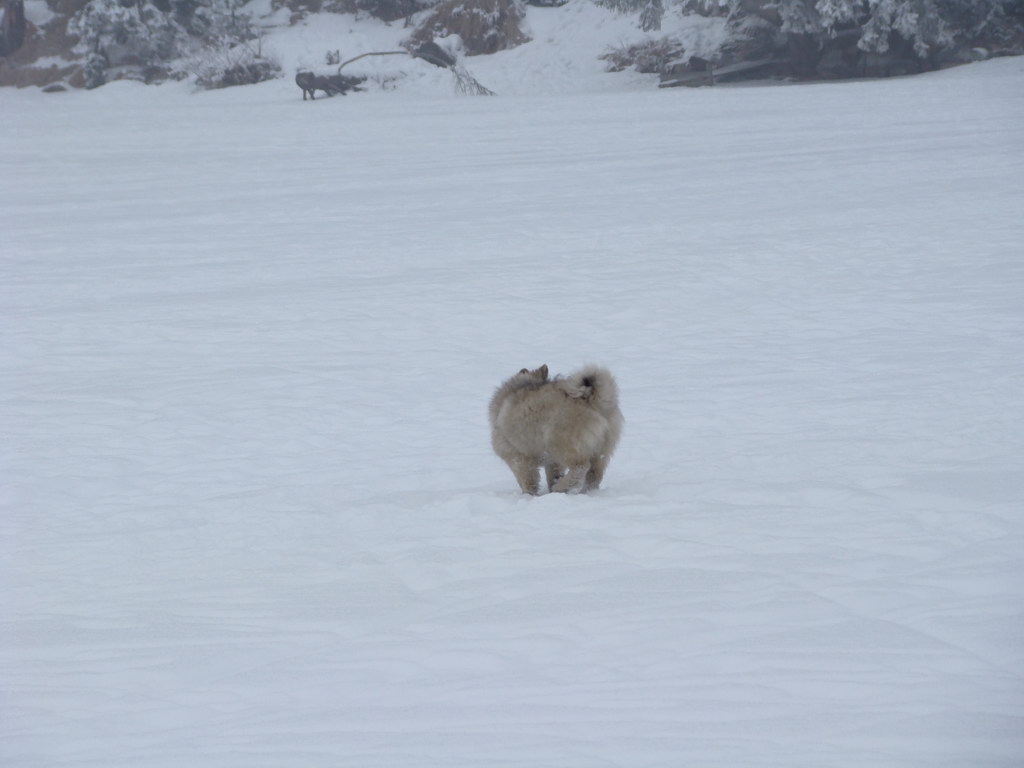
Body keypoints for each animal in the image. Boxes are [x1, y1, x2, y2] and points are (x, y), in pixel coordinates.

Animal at [489, 364, 622, 495]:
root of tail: (591, 399)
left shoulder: (518, 457)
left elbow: (526, 480)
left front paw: (529, 495)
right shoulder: (552, 462)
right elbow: (552, 475)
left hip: (563, 445)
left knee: (580, 467)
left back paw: (561, 487)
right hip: (600, 451)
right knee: (594, 475)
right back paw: (582, 491)